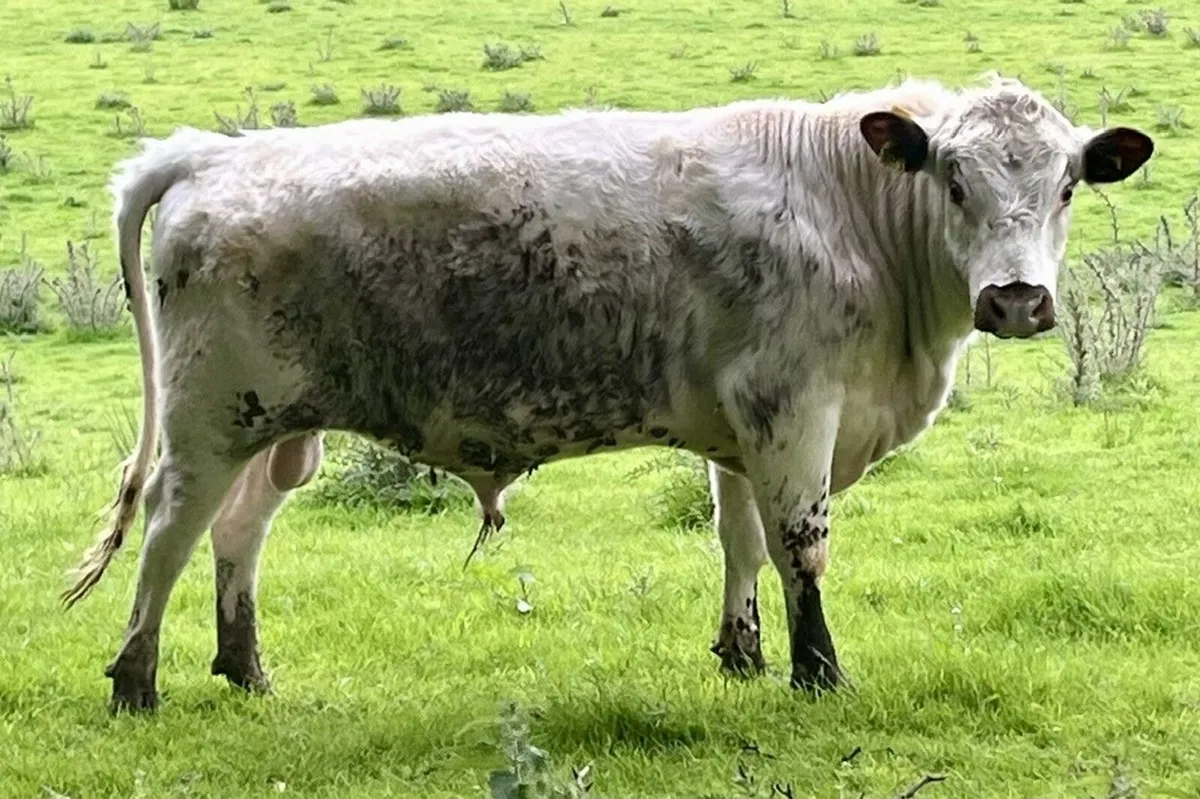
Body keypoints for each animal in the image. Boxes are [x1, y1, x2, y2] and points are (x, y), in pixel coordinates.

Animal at [61, 73, 1153, 713]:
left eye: (1065, 186)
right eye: (954, 181)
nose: (1017, 299)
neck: (846, 209)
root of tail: (218, 149)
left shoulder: (744, 427)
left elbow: (738, 538)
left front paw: (743, 655)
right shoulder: (793, 411)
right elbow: (800, 547)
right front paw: (818, 674)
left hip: (278, 429)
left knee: (238, 533)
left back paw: (245, 669)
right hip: (208, 420)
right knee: (168, 533)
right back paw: (136, 681)